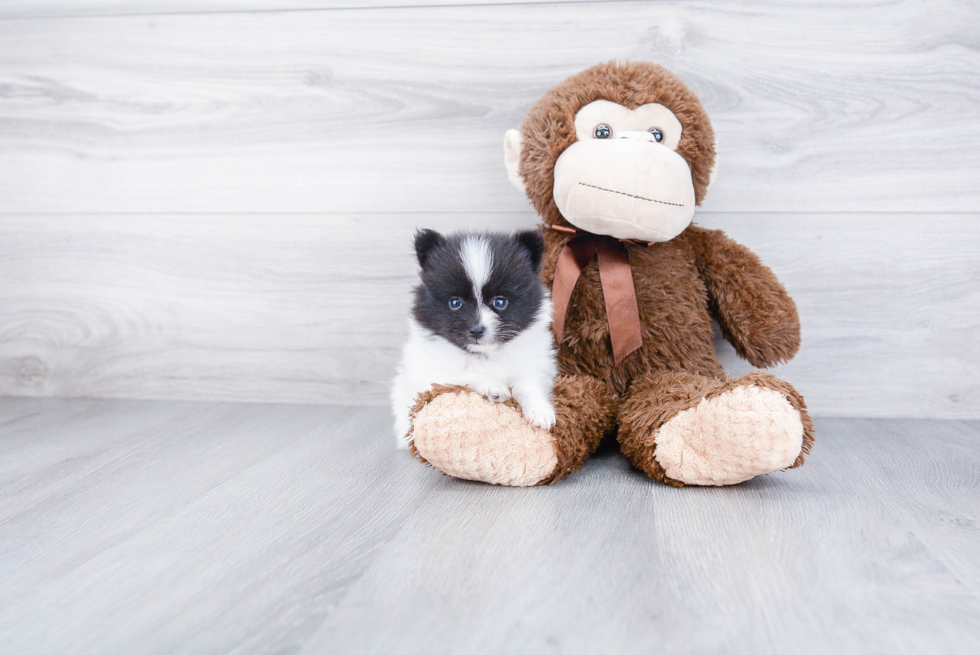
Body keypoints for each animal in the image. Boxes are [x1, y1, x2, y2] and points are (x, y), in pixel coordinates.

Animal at [390, 228, 560, 448]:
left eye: (500, 302)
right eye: (455, 303)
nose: (477, 330)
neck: (484, 355)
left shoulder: (534, 365)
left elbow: (527, 384)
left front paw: (539, 410)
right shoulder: (430, 373)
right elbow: (464, 375)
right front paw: (492, 387)